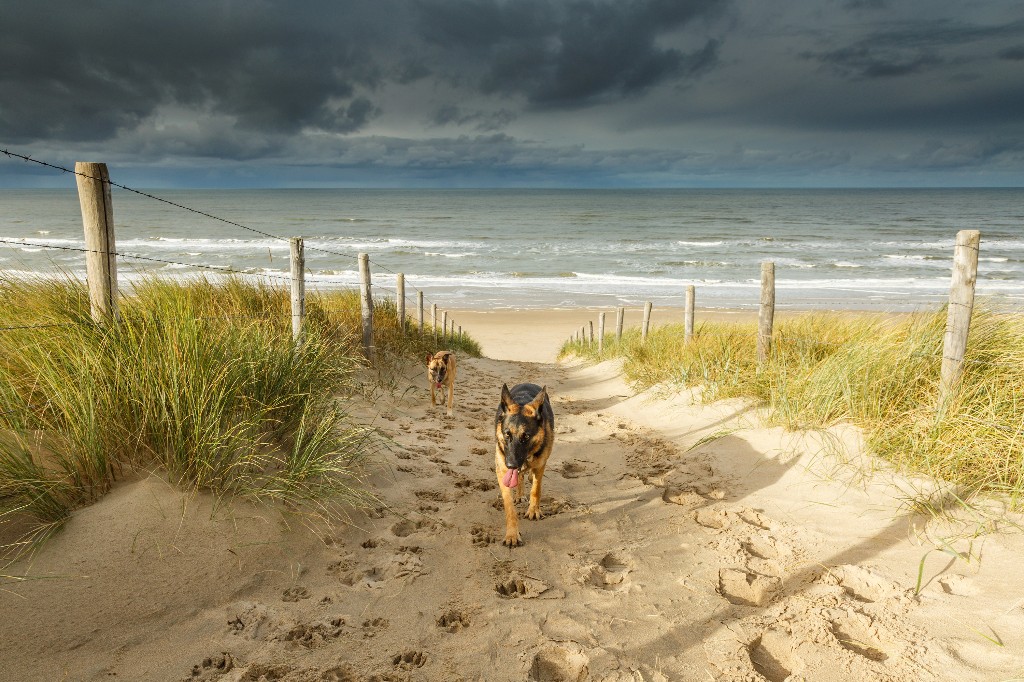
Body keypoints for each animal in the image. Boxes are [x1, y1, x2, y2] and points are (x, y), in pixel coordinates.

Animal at [493, 382, 552, 548]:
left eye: (526, 436)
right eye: (507, 434)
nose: (511, 464)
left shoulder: (540, 465)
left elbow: (536, 490)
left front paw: (533, 511)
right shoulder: (502, 471)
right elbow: (509, 508)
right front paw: (512, 534)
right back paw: (519, 494)